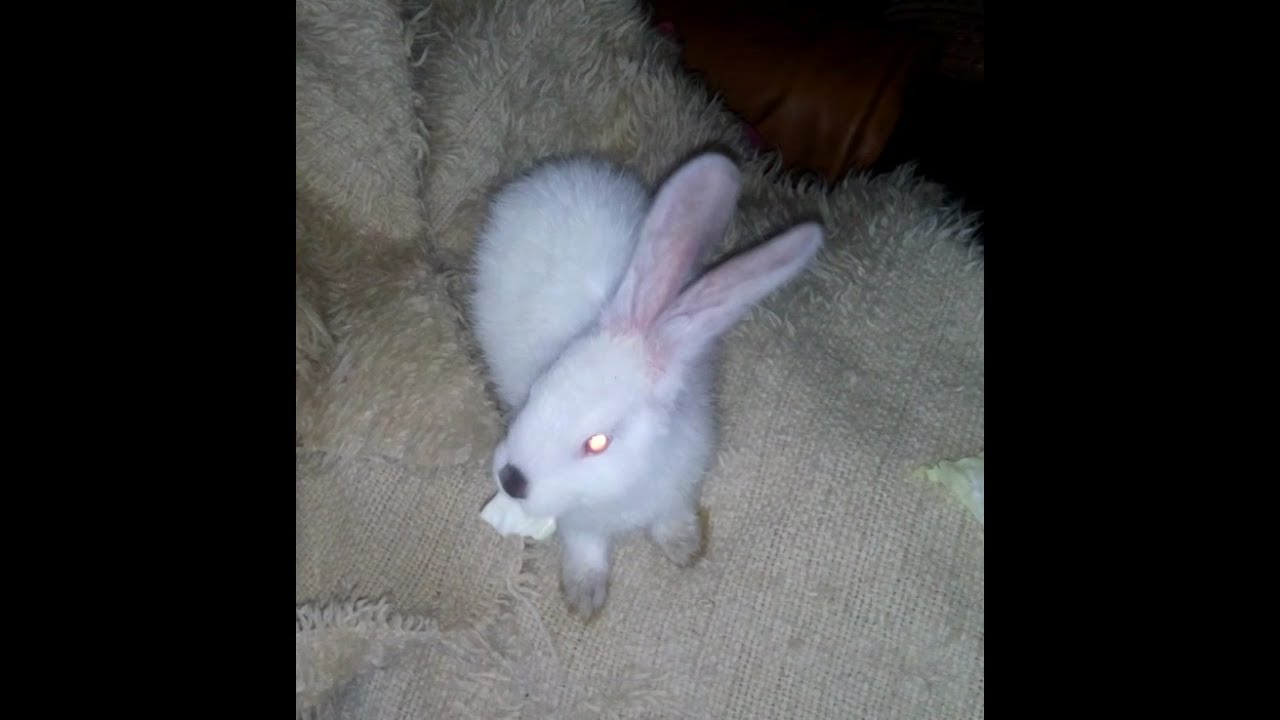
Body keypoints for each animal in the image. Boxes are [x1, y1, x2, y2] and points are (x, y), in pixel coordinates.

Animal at [470, 151, 824, 618]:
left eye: (598, 442)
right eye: (535, 391)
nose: (511, 479)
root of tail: (554, 173)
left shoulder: (677, 490)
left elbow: (670, 520)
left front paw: (685, 547)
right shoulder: (579, 525)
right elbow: (586, 550)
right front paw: (585, 597)